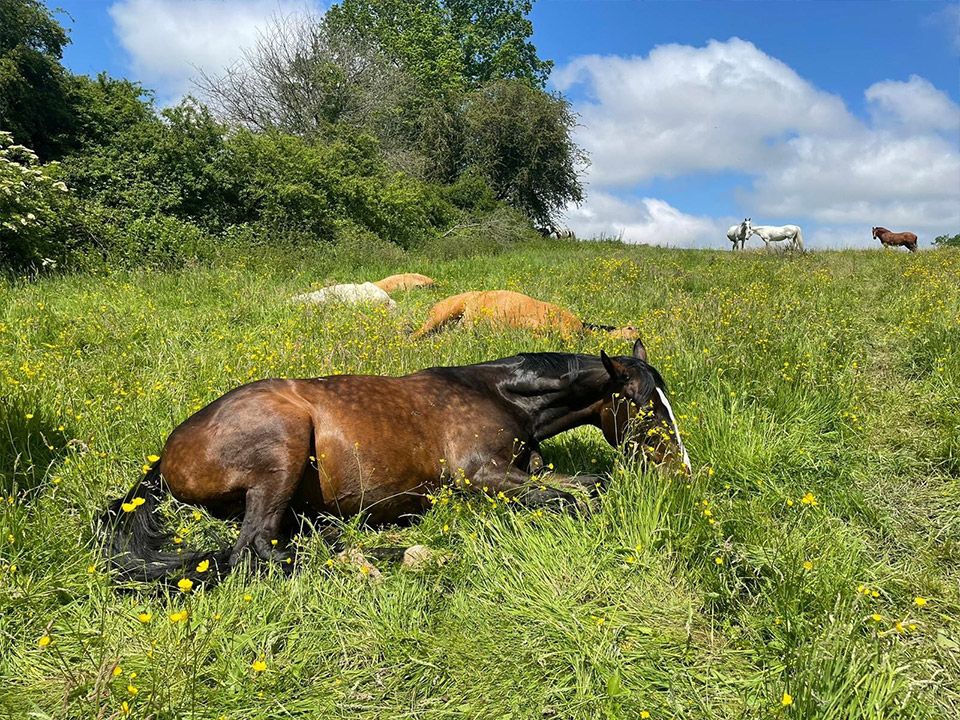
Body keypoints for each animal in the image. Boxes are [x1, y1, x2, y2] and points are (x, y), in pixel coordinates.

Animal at [101, 338, 688, 584]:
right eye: (643, 405)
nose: (679, 470)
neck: (501, 395)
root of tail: (163, 458)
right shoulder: (483, 476)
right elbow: (575, 498)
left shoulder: (526, 471)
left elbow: (586, 485)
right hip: (282, 448)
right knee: (255, 551)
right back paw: (389, 558)